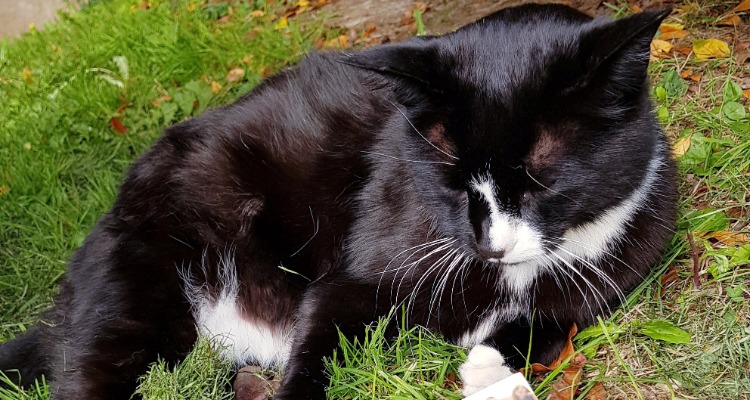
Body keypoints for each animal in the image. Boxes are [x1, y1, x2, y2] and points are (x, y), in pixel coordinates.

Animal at [0, 3, 680, 400]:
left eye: (541, 179)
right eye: (451, 178)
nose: (491, 245)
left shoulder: (613, 264)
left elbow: (552, 320)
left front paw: (490, 366)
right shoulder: (356, 272)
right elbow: (325, 328)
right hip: (145, 273)